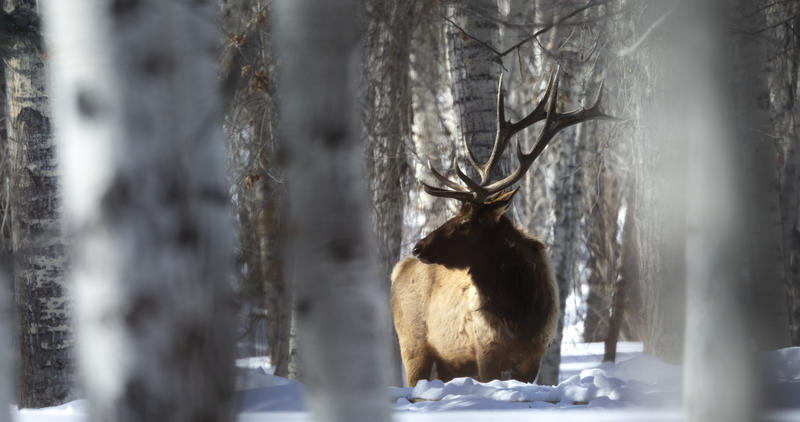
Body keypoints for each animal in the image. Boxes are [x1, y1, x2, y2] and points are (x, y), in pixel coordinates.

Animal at [391, 67, 610, 387]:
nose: (418, 247)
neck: (520, 313)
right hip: (413, 346)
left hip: (447, 362)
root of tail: (396, 270)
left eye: (465, 222)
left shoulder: (534, 357)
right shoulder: (485, 351)